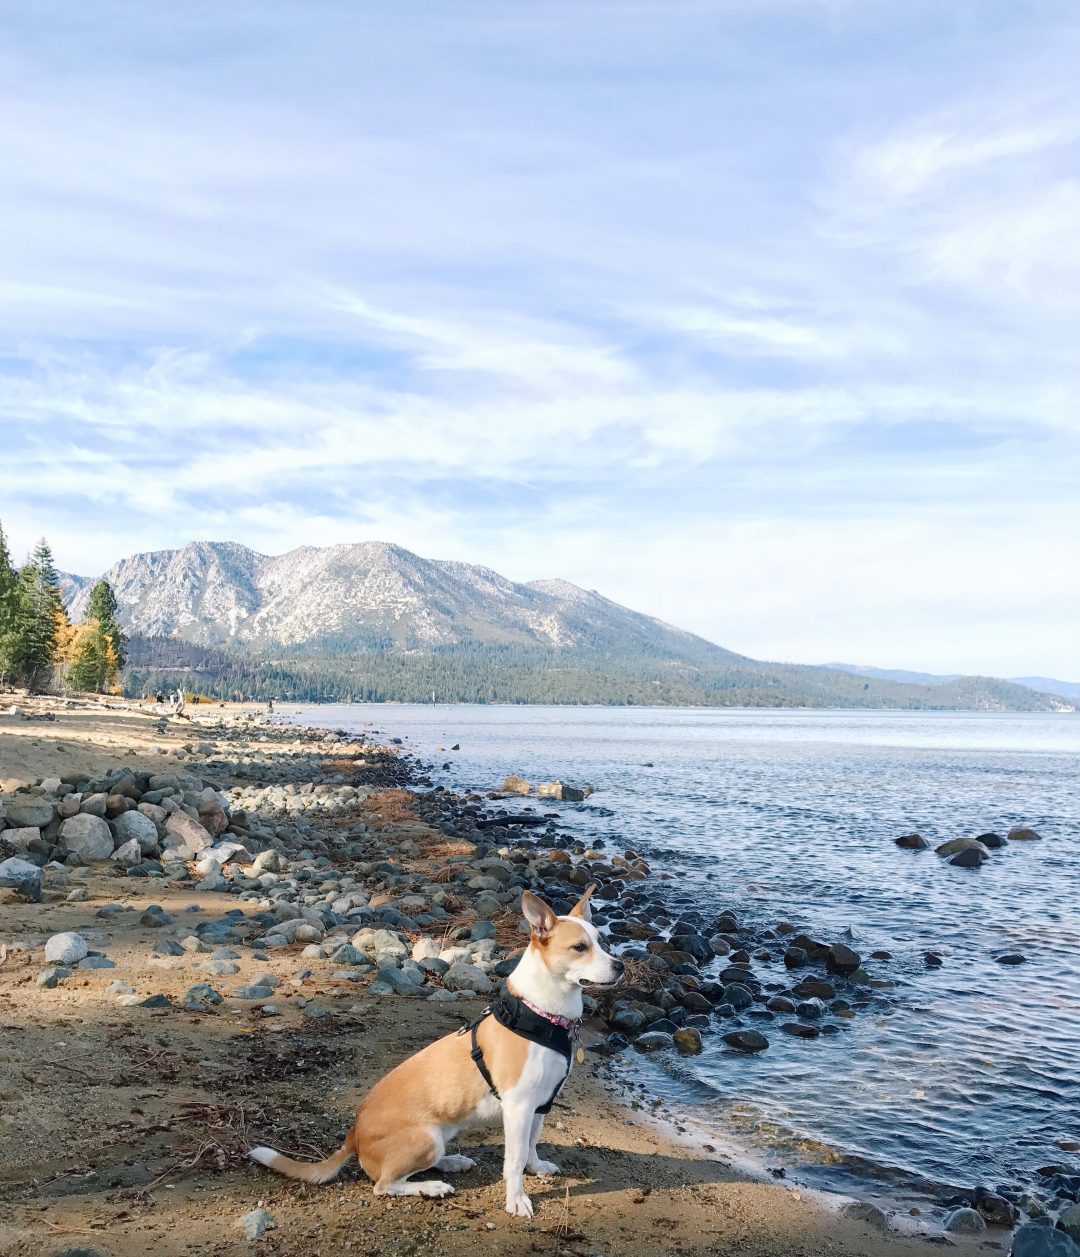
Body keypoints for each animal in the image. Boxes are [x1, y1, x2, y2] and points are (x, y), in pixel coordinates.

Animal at [250, 884, 626, 1216]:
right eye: (579, 947)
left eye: (602, 942)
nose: (620, 965)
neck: (541, 1013)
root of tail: (353, 1137)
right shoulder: (518, 1108)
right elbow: (514, 1160)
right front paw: (516, 1199)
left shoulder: (540, 1105)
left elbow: (532, 1144)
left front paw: (535, 1167)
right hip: (426, 1138)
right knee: (384, 1185)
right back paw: (430, 1187)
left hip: (442, 1134)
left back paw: (451, 1162)